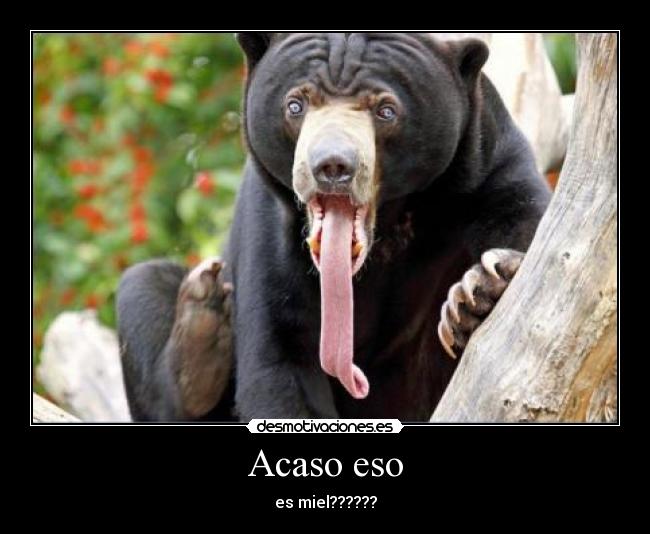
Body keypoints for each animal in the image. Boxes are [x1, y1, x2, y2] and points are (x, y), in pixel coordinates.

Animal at [117, 32, 551, 422]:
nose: (331, 166)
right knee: (143, 286)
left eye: (386, 111)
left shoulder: (488, 165)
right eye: (295, 105)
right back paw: (200, 329)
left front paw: (478, 291)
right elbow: (279, 355)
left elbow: (525, 227)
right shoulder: (271, 224)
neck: (389, 227)